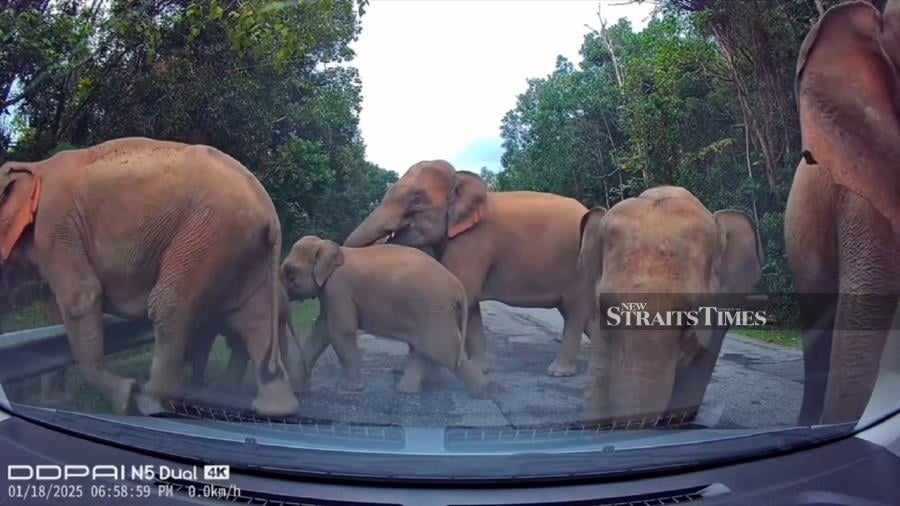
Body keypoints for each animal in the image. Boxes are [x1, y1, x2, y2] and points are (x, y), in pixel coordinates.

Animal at [0, 137, 299, 416]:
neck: (34, 167)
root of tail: (270, 214)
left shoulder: (56, 224)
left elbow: (80, 299)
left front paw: (125, 398)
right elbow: (58, 310)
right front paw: (54, 402)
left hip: (209, 235)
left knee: (169, 306)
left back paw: (149, 403)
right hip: (241, 248)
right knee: (254, 316)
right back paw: (275, 408)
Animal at [281, 236, 488, 396]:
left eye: (291, 271)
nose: (307, 379)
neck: (330, 247)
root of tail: (458, 287)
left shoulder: (338, 289)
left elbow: (341, 331)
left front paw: (349, 389)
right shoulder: (330, 295)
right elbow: (321, 330)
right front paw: (298, 388)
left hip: (435, 310)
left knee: (442, 349)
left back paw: (483, 391)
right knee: (426, 350)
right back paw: (410, 389)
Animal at [343, 160, 595, 377]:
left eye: (416, 199)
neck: (462, 181)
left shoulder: (474, 242)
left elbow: (463, 293)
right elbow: (468, 302)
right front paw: (477, 369)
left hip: (579, 270)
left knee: (575, 312)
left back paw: (559, 372)